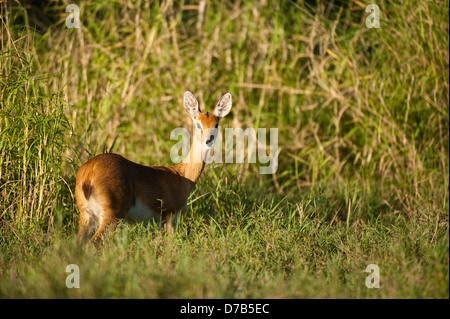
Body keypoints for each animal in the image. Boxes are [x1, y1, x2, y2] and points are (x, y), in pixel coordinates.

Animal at [74, 92, 232, 245]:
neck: (182, 176)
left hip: (87, 215)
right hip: (112, 214)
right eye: (198, 124)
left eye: (216, 124)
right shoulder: (169, 215)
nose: (208, 140)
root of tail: (88, 174)